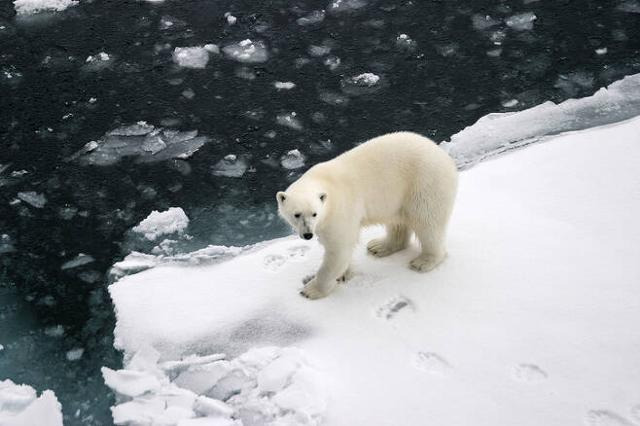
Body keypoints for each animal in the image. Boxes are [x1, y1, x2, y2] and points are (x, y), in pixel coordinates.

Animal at [278, 131, 458, 298]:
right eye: (296, 214)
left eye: (314, 213)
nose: (308, 234)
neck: (324, 181)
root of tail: (445, 157)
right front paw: (343, 274)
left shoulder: (340, 210)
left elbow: (339, 249)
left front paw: (311, 290)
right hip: (397, 196)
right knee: (398, 222)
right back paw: (379, 246)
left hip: (425, 184)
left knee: (427, 222)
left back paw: (424, 261)